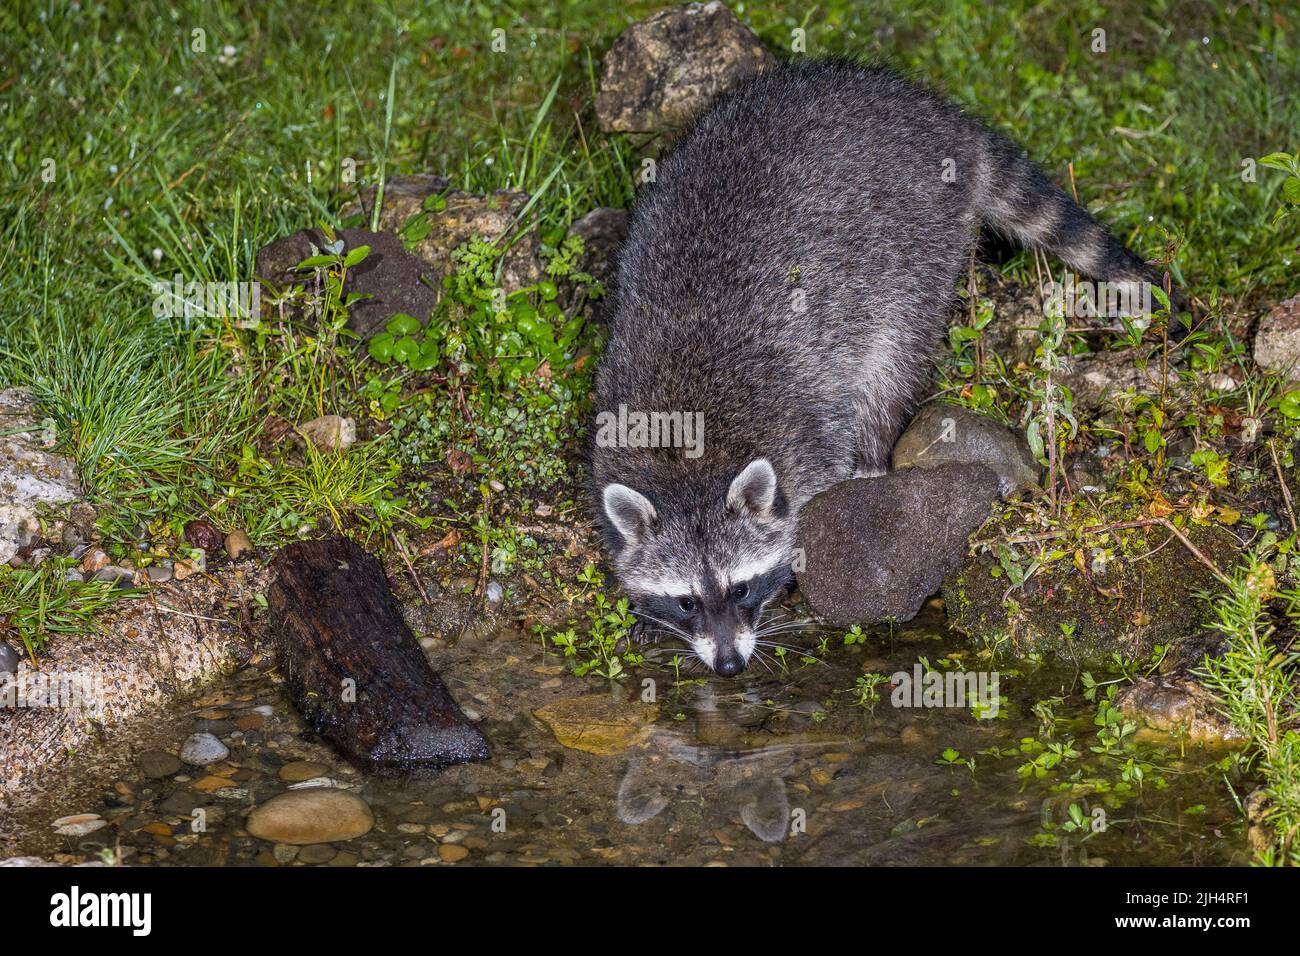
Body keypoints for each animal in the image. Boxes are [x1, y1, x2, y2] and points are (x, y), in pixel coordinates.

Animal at [595, 59, 1175, 676]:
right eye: (686, 600)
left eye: (742, 588)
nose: (729, 666)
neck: (691, 460)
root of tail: (934, 115)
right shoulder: (616, 410)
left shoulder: (805, 428)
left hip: (916, 244)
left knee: (890, 363)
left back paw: (872, 457)